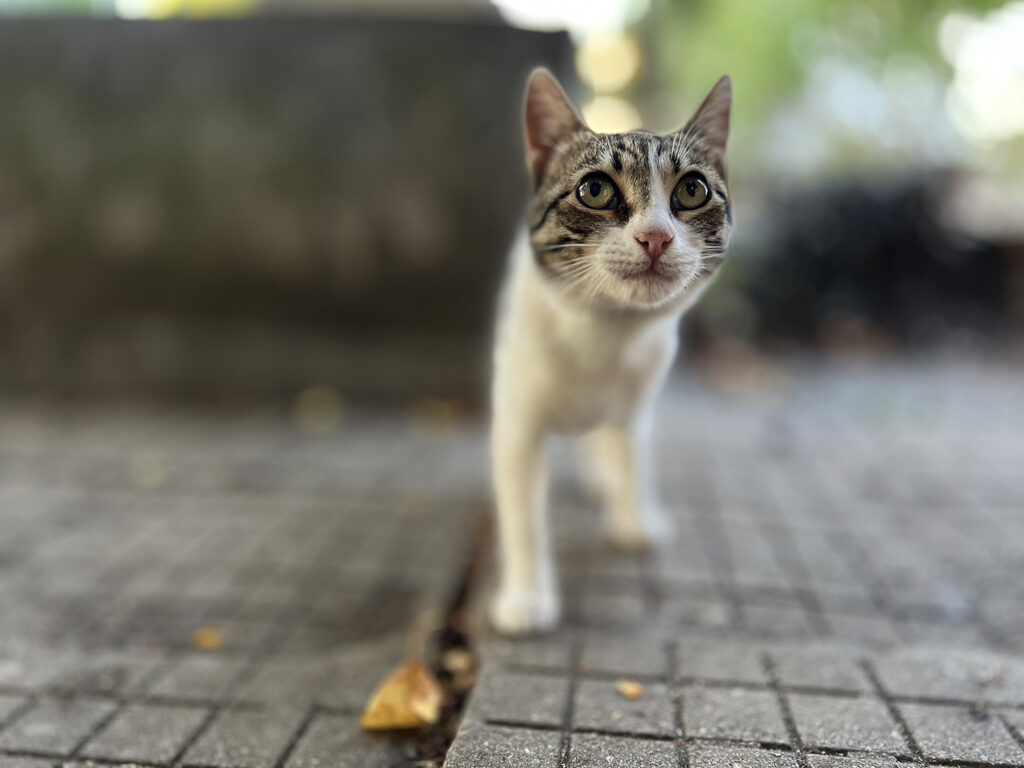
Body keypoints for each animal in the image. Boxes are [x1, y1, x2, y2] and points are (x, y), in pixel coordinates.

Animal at [487, 69, 729, 634]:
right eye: (595, 189)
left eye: (693, 190)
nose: (656, 237)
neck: (606, 335)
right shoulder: (517, 426)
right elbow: (524, 517)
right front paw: (527, 597)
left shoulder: (637, 406)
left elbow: (633, 455)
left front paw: (634, 517)